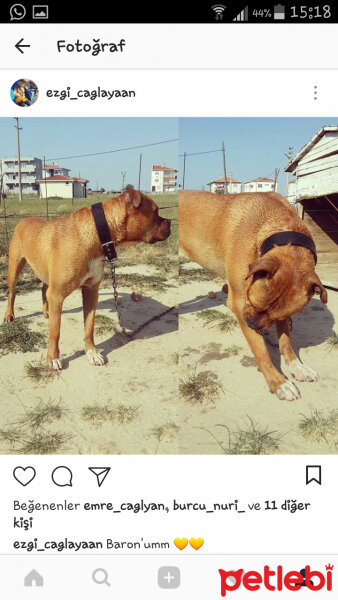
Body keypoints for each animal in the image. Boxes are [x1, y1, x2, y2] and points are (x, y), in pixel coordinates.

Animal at [3, 190, 170, 368]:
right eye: (156, 211)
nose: (170, 222)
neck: (98, 232)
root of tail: (23, 220)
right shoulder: (57, 295)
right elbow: (55, 331)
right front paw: (53, 358)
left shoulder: (90, 292)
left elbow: (89, 327)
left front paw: (92, 353)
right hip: (14, 268)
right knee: (12, 293)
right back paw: (9, 315)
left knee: (43, 288)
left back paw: (46, 311)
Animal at [180, 190, 328, 400]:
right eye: (252, 301)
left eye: (278, 317)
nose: (251, 325)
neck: (277, 226)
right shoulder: (238, 303)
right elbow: (262, 351)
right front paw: (278, 382)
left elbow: (286, 341)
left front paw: (296, 366)